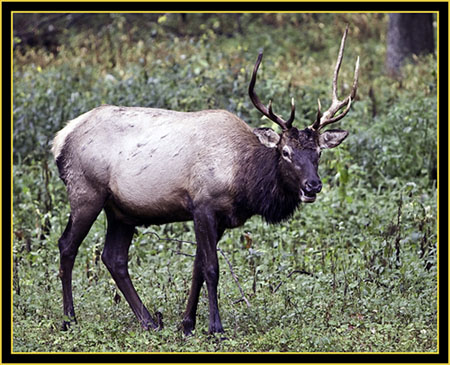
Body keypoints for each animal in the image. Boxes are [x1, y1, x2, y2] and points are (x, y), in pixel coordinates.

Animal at [51, 27, 358, 336]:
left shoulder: (219, 219)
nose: (312, 186)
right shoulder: (203, 205)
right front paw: (215, 328)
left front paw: (187, 324)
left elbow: (197, 268)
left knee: (113, 257)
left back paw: (149, 320)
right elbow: (211, 268)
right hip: (85, 191)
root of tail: (61, 139)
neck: (244, 181)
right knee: (67, 246)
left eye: (318, 152)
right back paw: (69, 319)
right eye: (286, 152)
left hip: (122, 210)